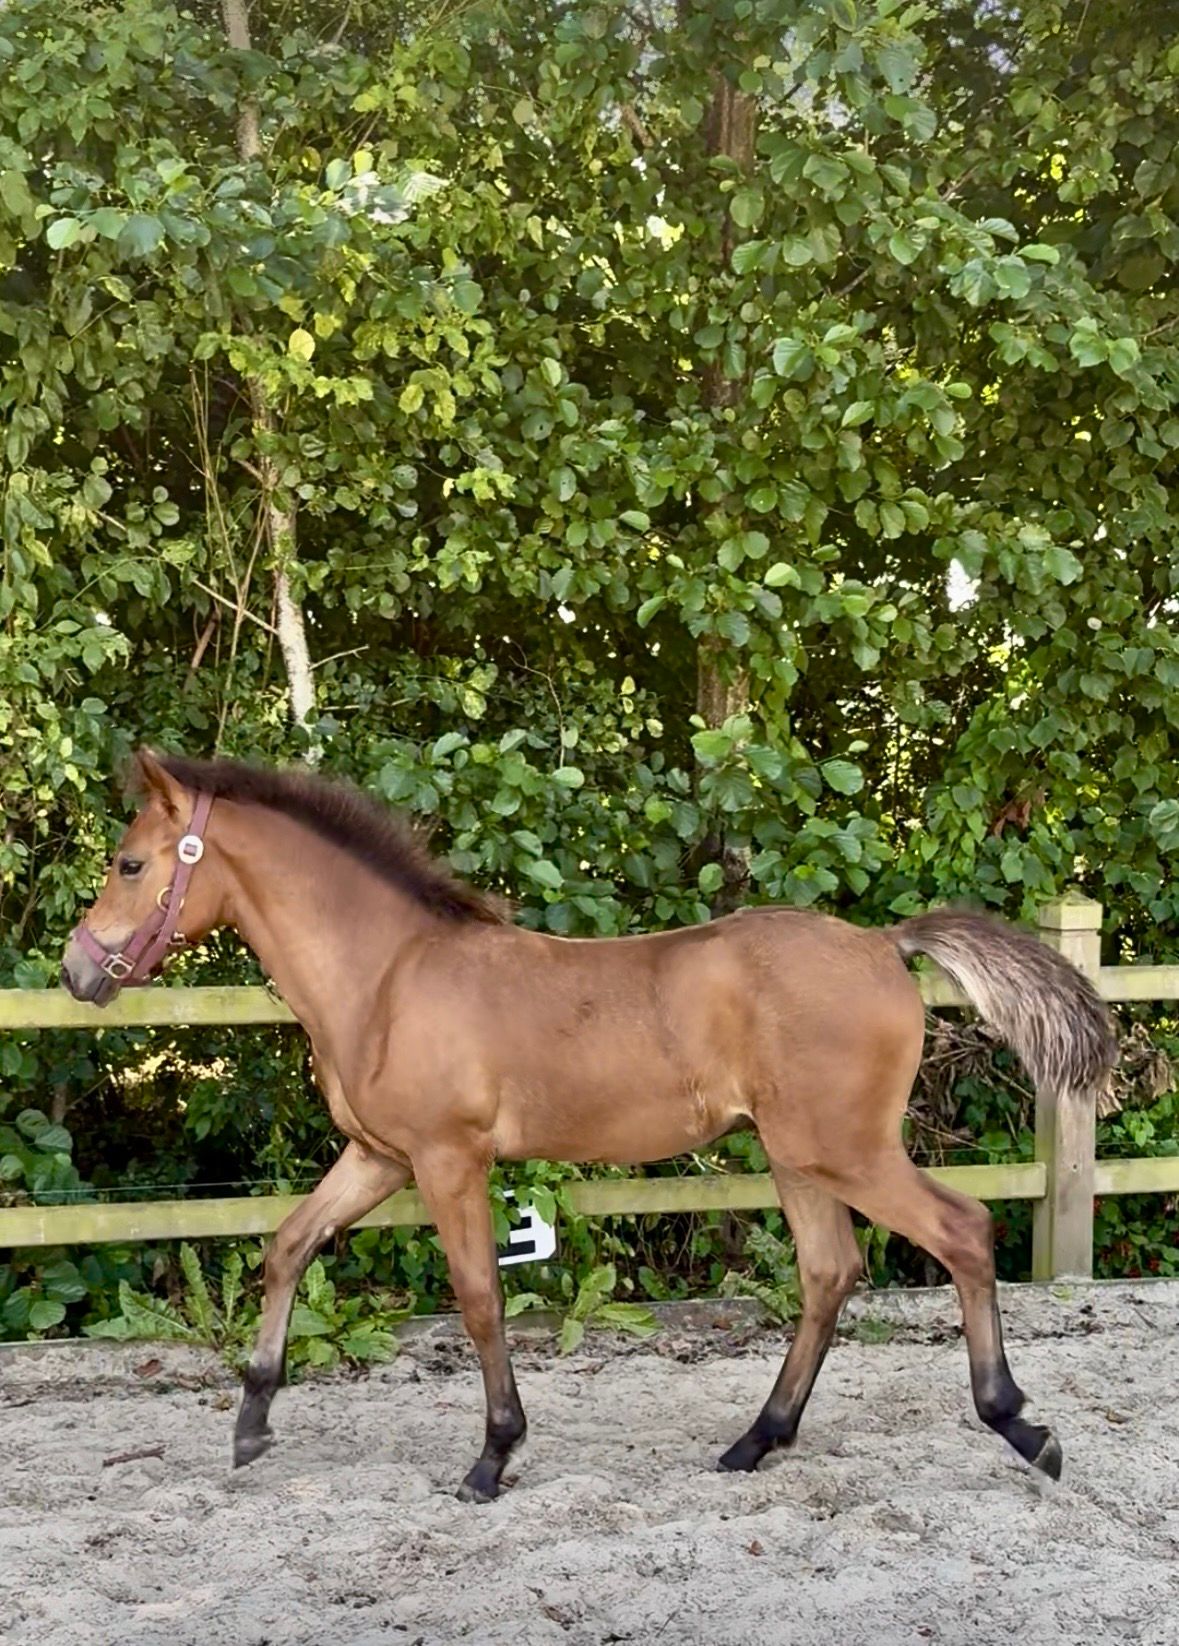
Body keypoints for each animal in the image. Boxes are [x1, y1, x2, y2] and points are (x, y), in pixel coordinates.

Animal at [61, 749, 1116, 1501]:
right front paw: (250, 1424)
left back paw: (1022, 1427)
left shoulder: (446, 1160)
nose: (75, 972)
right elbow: (285, 1248)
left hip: (844, 1150)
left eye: (128, 862)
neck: (389, 976)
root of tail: (882, 945)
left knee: (961, 1232)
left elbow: (479, 1298)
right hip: (796, 1155)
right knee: (829, 1272)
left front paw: (491, 1458)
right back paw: (754, 1442)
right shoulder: (377, 1157)